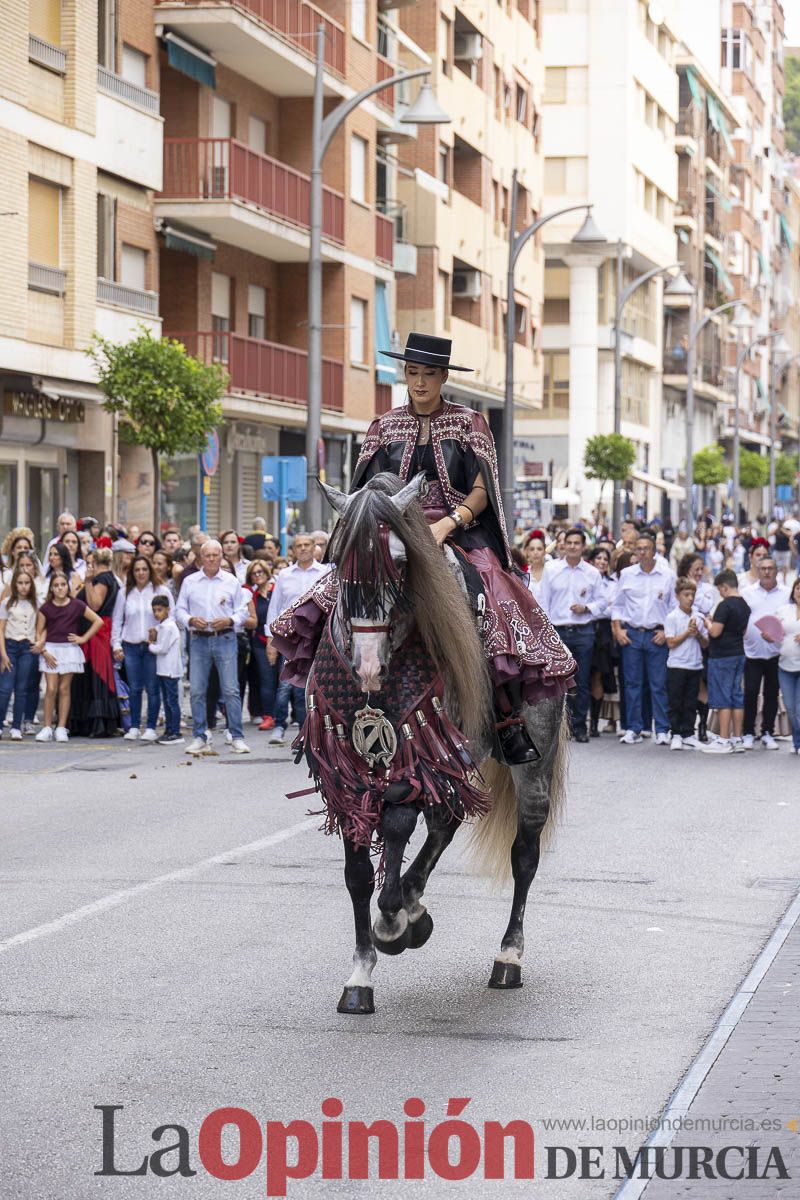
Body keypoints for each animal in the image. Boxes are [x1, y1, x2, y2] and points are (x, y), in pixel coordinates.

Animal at [304, 472, 568, 1015]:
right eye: (337, 557)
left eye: (402, 562)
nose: (367, 667)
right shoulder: (348, 769)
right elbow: (357, 871)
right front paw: (361, 973)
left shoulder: (414, 757)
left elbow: (398, 824)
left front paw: (391, 924)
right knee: (446, 820)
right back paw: (415, 902)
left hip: (532, 764)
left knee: (523, 855)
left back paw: (507, 957)